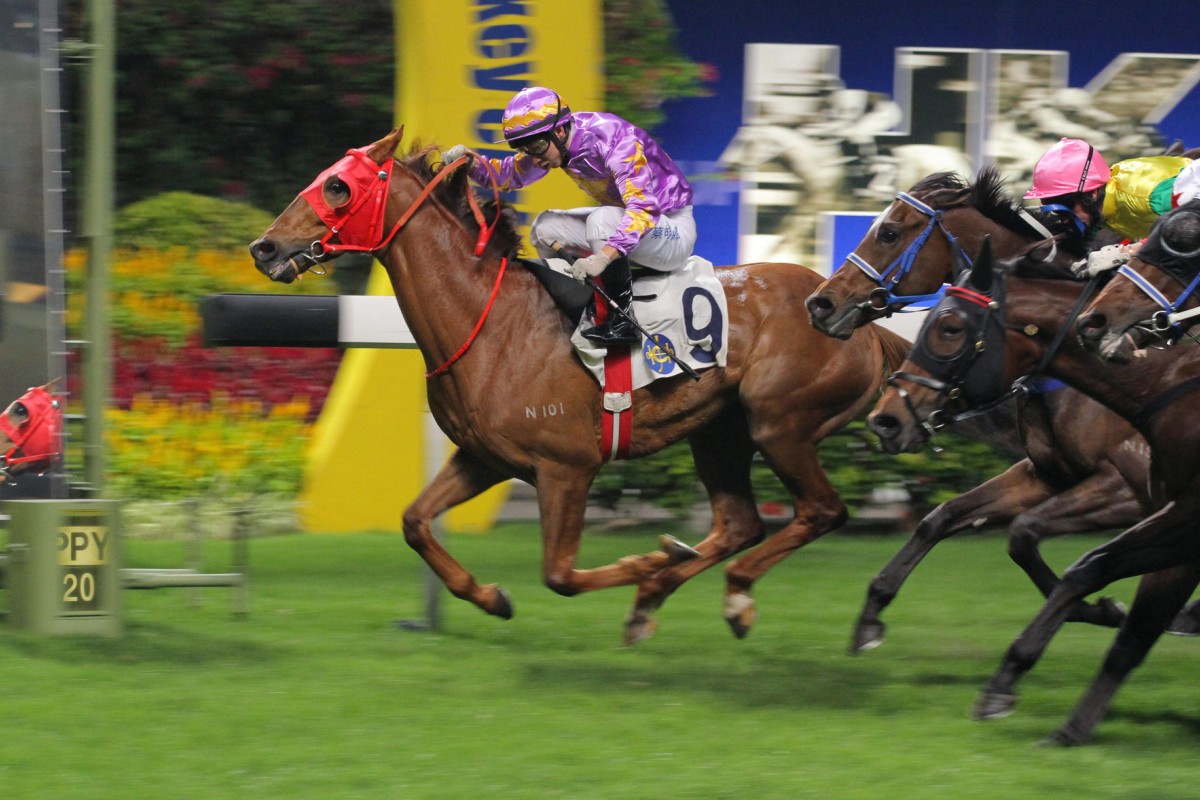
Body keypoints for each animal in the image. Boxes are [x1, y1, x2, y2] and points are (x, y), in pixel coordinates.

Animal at [250, 130, 907, 642]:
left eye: (338, 186)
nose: (264, 246)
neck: (492, 321)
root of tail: (856, 317)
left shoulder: (566, 467)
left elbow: (560, 575)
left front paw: (649, 558)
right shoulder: (486, 457)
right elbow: (415, 522)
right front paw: (491, 597)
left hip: (781, 424)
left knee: (820, 510)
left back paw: (725, 591)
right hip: (720, 432)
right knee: (741, 523)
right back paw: (661, 599)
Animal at [801, 169, 1137, 652]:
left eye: (889, 232)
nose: (820, 303)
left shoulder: (1127, 485)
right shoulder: (1049, 472)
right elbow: (944, 518)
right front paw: (872, 612)